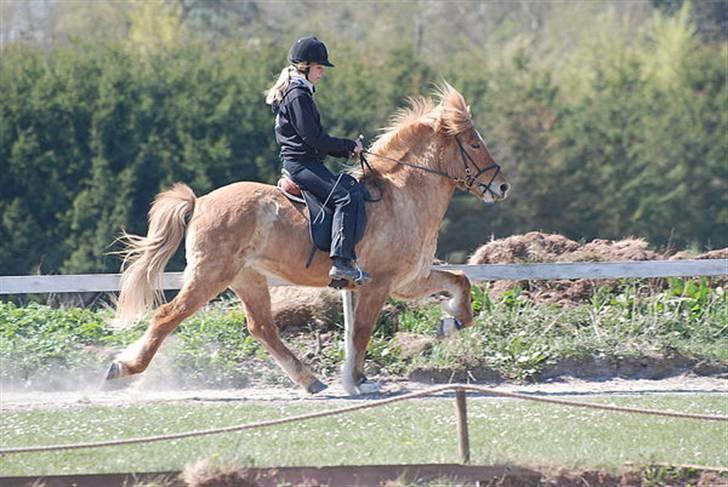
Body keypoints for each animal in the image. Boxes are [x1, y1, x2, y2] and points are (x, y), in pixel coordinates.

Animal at [106, 83, 512, 396]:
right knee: (167, 316)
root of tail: (201, 201)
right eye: (475, 144)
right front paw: (359, 381)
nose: (502, 187)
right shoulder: (380, 283)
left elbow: (459, 281)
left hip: (247, 277)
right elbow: (361, 331)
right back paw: (122, 368)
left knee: (262, 328)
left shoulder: (409, 280)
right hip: (211, 275)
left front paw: (452, 323)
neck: (404, 195)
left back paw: (310, 380)